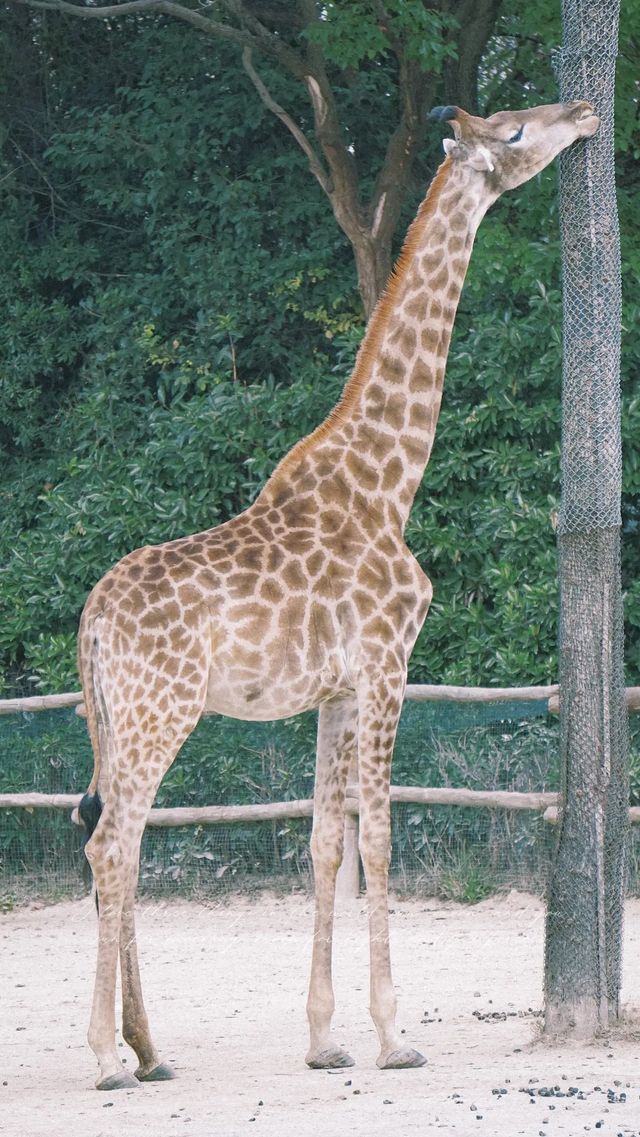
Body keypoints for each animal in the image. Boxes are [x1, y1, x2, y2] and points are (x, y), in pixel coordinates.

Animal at [76, 102, 600, 1086]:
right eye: (514, 131)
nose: (584, 111)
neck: (389, 483)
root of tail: (87, 622)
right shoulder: (389, 665)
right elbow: (385, 834)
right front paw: (396, 1035)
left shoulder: (333, 690)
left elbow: (324, 840)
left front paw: (324, 1038)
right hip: (162, 709)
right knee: (111, 841)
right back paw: (107, 1055)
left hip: (117, 717)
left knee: (117, 836)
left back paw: (152, 1048)